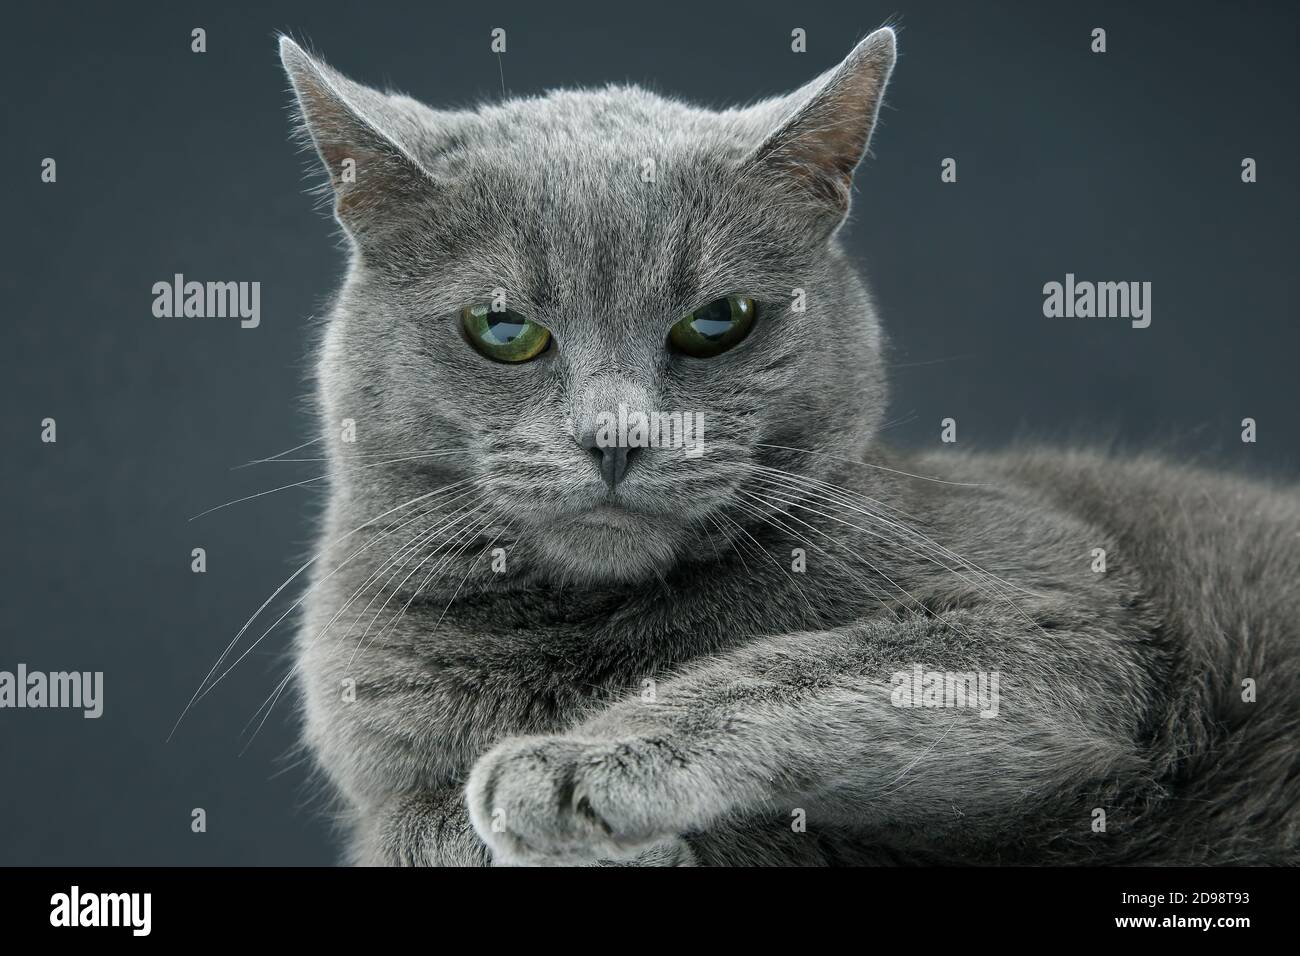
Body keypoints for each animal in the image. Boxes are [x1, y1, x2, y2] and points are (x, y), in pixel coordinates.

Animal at [276, 29, 1300, 868]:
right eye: (502, 329)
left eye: (716, 322)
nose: (618, 435)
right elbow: (409, 824)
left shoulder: (1074, 621)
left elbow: (798, 666)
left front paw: (568, 766)